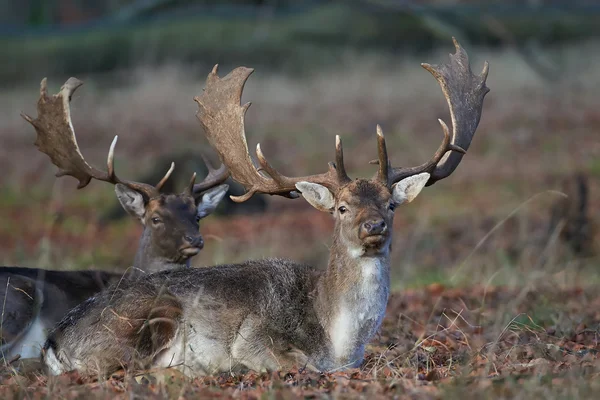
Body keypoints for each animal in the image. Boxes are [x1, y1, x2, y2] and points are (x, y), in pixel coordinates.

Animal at [41, 38, 488, 376]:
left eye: (391, 204)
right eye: (342, 207)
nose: (374, 226)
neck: (340, 341)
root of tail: (53, 341)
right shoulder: (254, 340)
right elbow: (301, 365)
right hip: (149, 319)